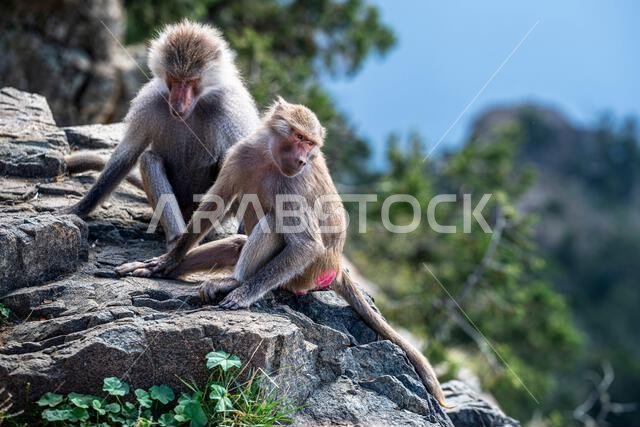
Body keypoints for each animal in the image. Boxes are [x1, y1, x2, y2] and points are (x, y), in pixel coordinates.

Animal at [62, 20, 260, 249]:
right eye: (174, 79)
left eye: (191, 81)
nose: (178, 105)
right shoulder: (150, 102)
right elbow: (126, 156)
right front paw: (78, 209)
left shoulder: (231, 107)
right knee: (148, 159)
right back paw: (176, 238)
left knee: (226, 162)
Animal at [116, 97, 448, 406]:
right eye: (299, 137)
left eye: (310, 143)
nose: (302, 160)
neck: (270, 158)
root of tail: (335, 267)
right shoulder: (241, 153)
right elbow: (214, 204)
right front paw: (165, 261)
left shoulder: (294, 184)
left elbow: (306, 243)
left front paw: (243, 293)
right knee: (238, 244)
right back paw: (170, 270)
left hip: (304, 275)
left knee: (276, 223)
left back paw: (233, 282)